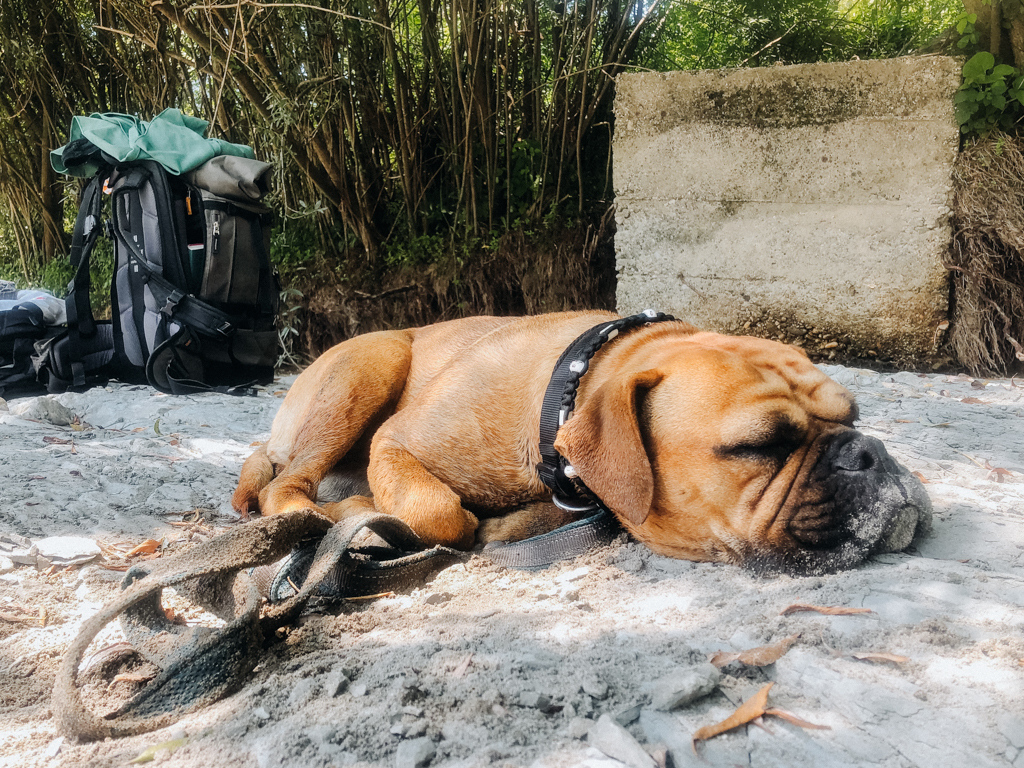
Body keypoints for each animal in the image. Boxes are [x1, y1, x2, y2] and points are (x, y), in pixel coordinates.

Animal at [235, 309, 933, 573]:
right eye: (760, 446)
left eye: (855, 415)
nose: (869, 453)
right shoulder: (397, 443)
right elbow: (438, 510)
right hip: (373, 360)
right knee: (285, 488)